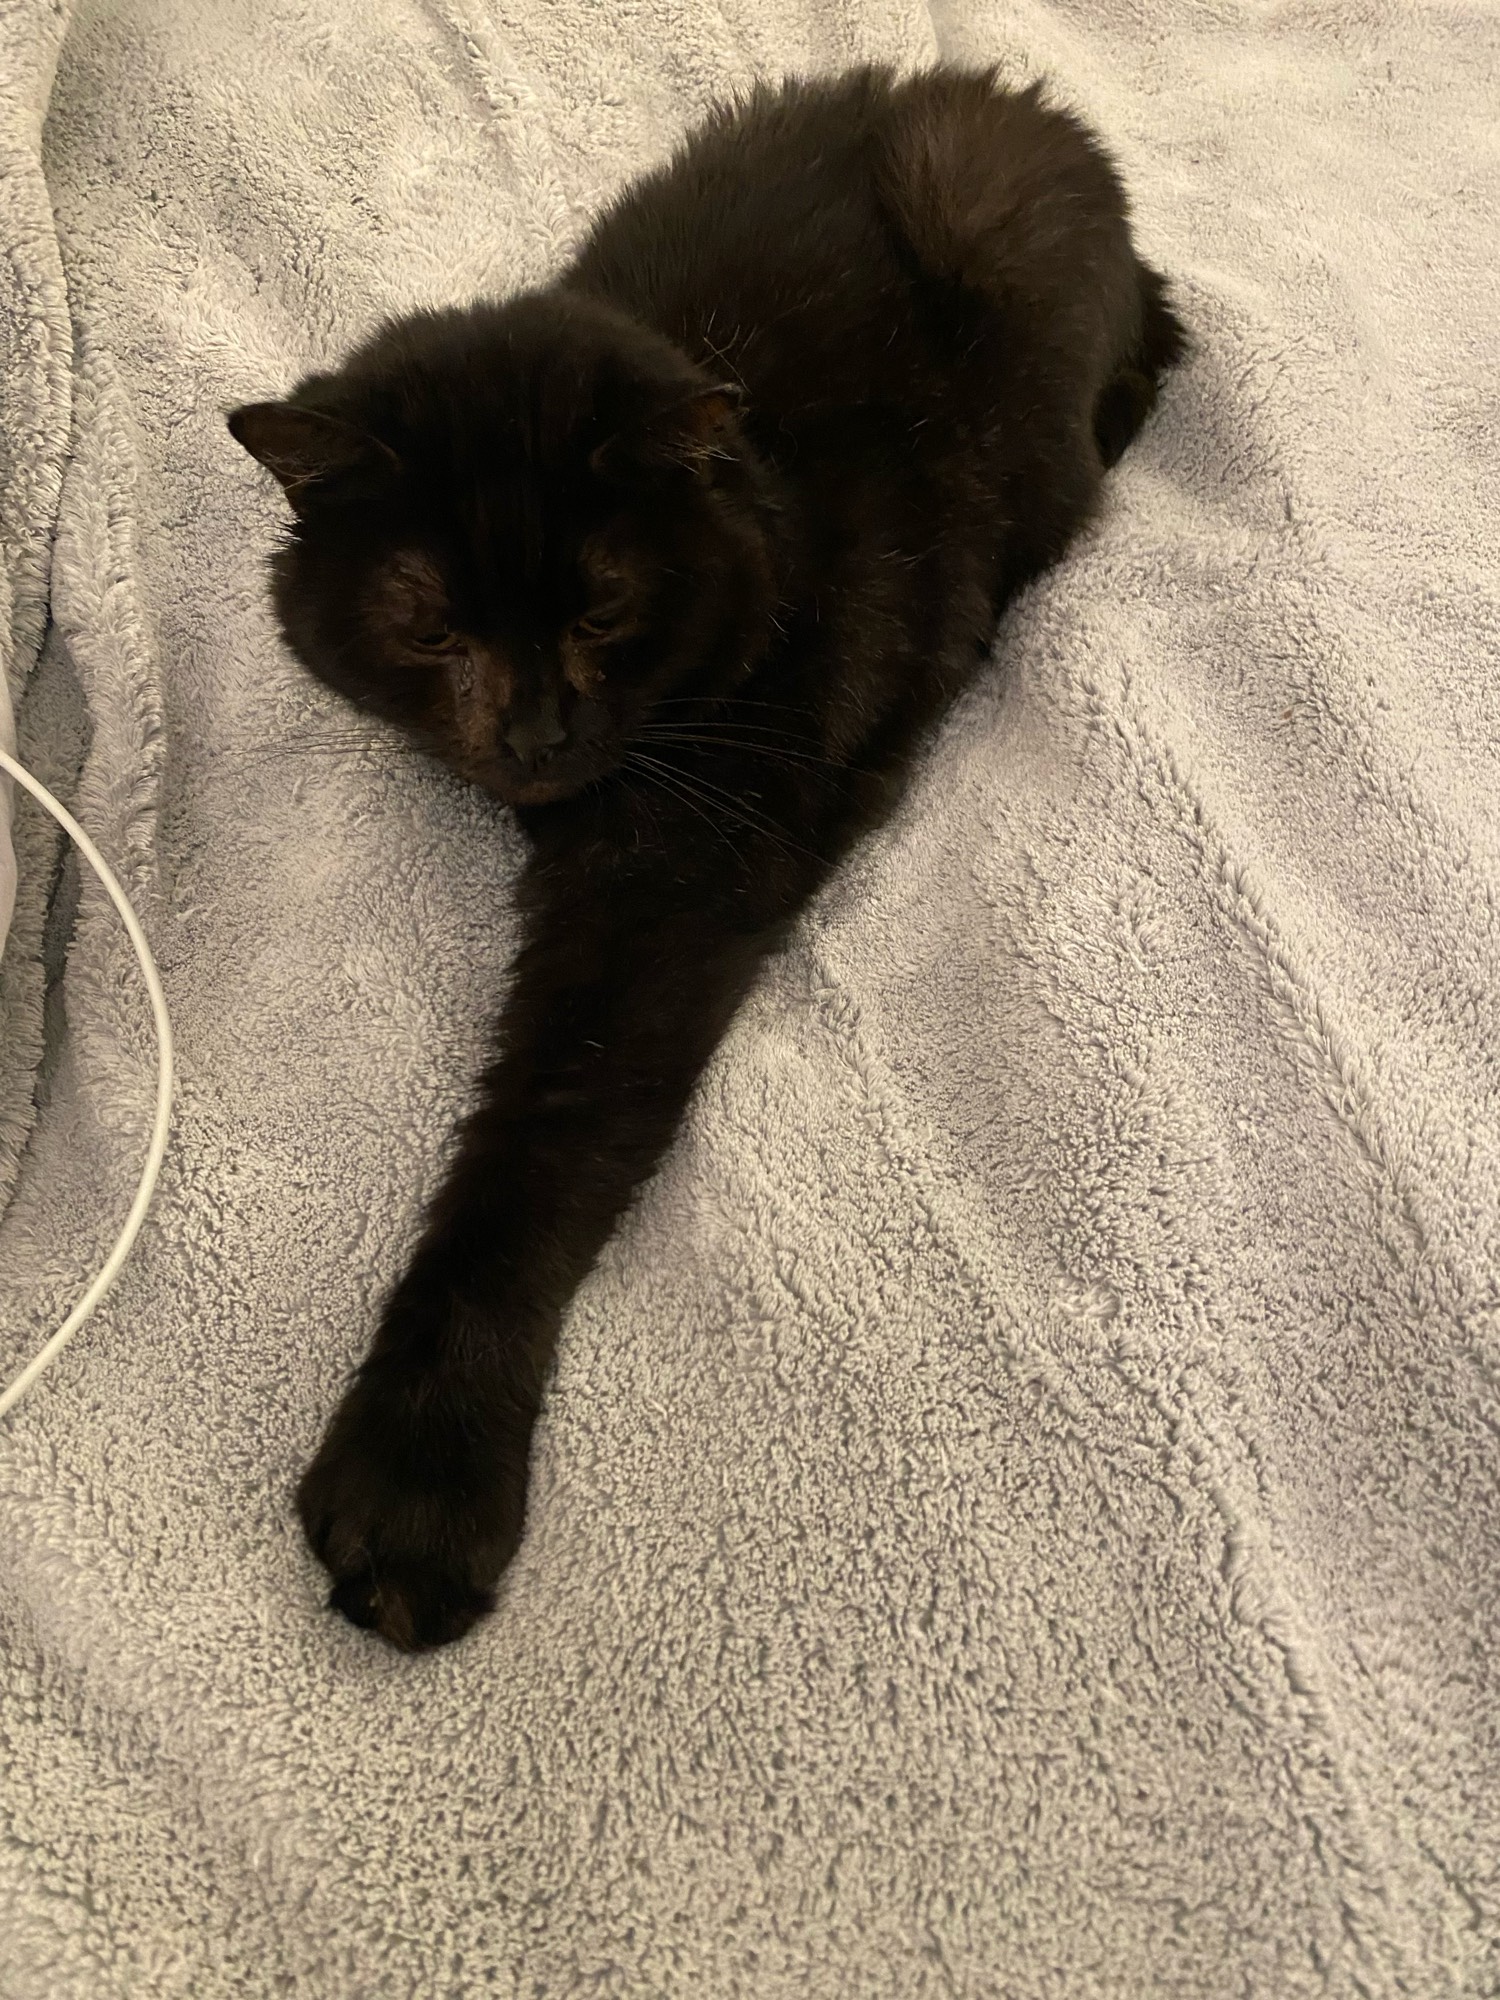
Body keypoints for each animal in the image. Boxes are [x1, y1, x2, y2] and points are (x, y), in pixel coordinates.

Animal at [229, 63, 1185, 1650]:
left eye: (604, 611)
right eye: (432, 628)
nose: (536, 733)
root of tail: (1017, 104)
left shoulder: (668, 887)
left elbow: (539, 1145)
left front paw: (422, 1477)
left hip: (994, 245)